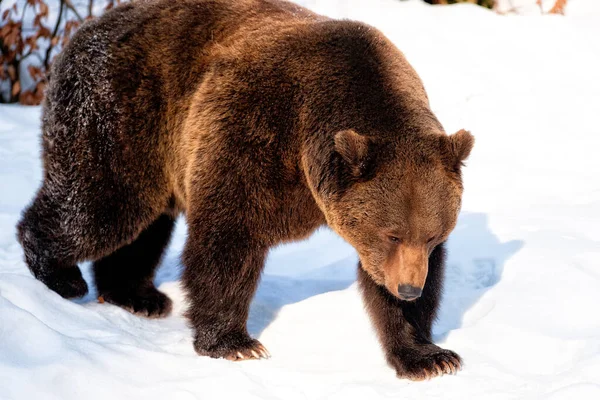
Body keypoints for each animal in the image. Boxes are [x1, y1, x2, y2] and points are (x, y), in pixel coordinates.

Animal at [15, 0, 474, 380]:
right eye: (391, 233)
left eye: (432, 236)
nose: (409, 288)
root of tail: (83, 30)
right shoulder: (254, 133)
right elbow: (229, 235)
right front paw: (235, 344)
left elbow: (390, 285)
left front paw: (428, 355)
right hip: (121, 118)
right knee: (98, 209)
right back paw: (59, 275)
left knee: (144, 227)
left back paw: (137, 295)